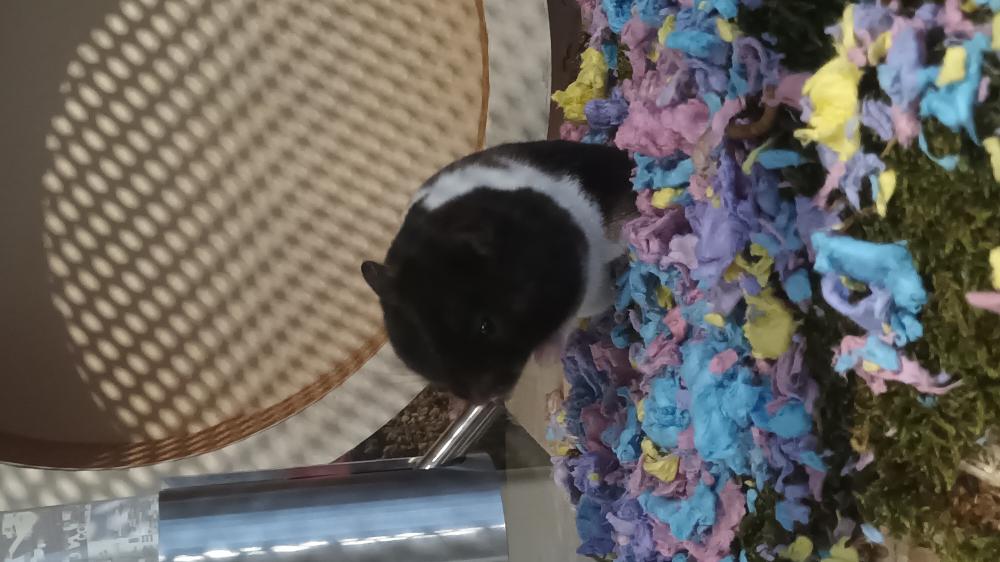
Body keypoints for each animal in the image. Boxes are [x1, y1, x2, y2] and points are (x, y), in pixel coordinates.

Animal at [361, 140, 634, 402]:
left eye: (486, 326)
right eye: (427, 351)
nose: (487, 398)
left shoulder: (577, 267)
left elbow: (567, 320)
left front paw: (545, 357)